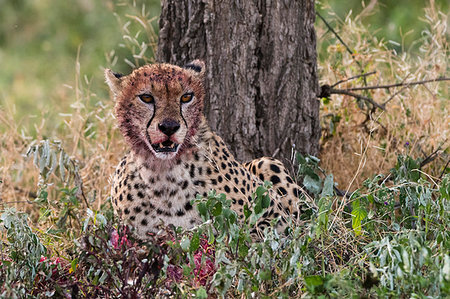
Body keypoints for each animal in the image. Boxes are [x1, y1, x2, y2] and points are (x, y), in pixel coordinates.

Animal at [105, 59, 308, 240]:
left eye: (186, 97)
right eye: (146, 97)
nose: (169, 127)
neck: (163, 172)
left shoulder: (278, 217)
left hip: (266, 162)